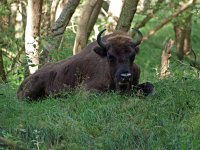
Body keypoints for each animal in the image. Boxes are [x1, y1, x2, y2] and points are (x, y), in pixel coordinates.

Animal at [17, 28, 155, 100]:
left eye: (133, 56)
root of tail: (24, 81)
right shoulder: (87, 90)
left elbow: (150, 86)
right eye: (110, 56)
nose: (125, 76)